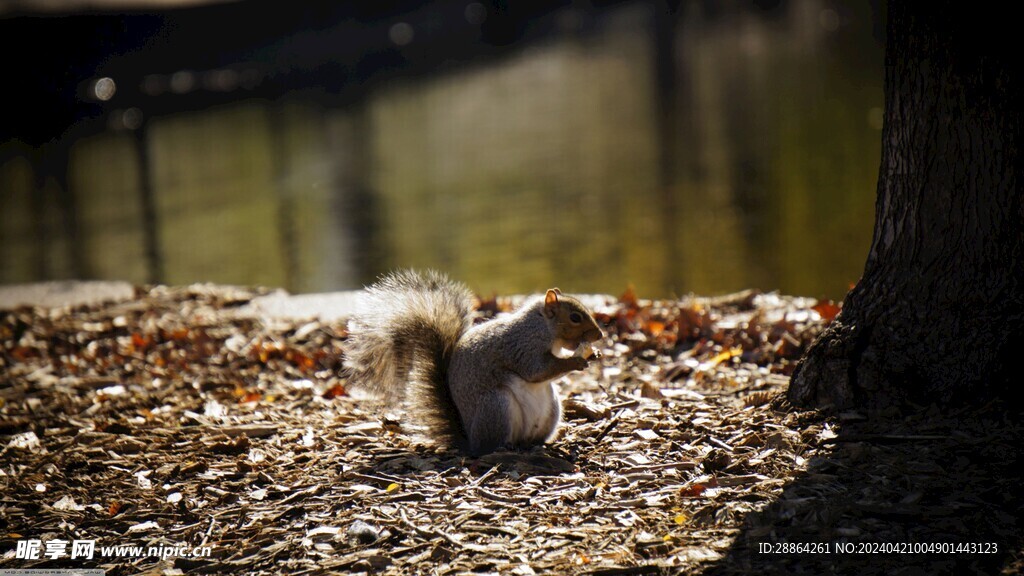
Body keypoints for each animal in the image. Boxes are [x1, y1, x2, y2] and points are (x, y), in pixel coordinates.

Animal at [344, 268, 602, 453]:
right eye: (575, 317)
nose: (599, 335)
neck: (543, 326)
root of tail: (469, 441)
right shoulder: (522, 346)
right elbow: (536, 371)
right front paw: (575, 362)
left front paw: (594, 355)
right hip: (496, 406)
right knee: (489, 445)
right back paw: (503, 447)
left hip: (551, 409)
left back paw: (537, 443)